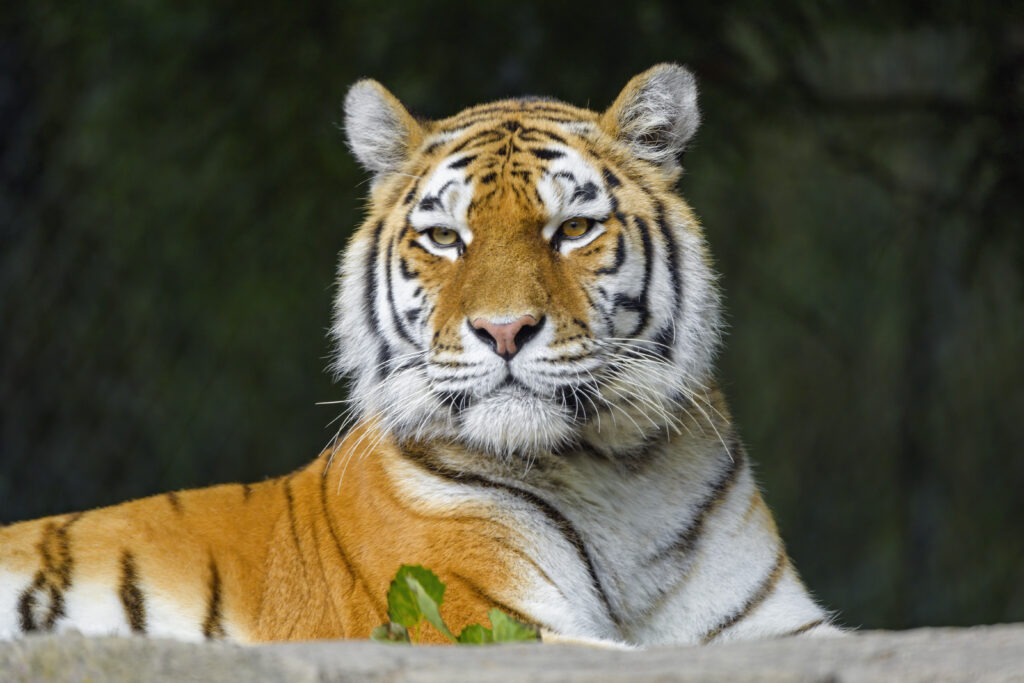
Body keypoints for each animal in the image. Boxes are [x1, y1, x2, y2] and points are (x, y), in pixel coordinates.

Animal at [0, 64, 838, 647]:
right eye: (444, 237)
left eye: (572, 229)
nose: (505, 330)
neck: (620, 476)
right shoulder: (479, 620)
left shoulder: (778, 626)